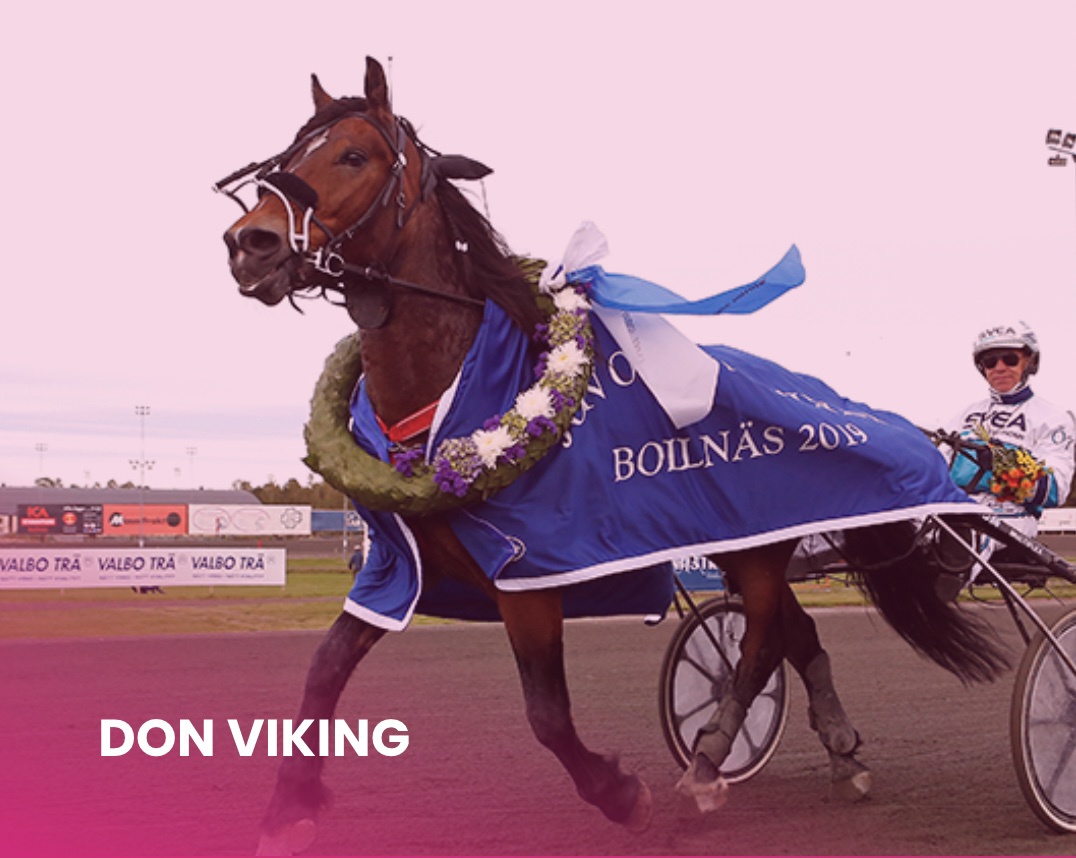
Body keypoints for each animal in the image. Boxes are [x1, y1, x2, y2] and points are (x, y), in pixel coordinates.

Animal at [219, 57, 1010, 854]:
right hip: (744, 541)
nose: (249, 242)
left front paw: (621, 795)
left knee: (758, 643)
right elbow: (322, 672)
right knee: (793, 631)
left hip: (756, 546)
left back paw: (708, 761)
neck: (452, 387)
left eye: (353, 155)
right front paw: (288, 810)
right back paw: (835, 749)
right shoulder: (394, 566)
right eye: (288, 154)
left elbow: (547, 715)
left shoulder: (529, 577)